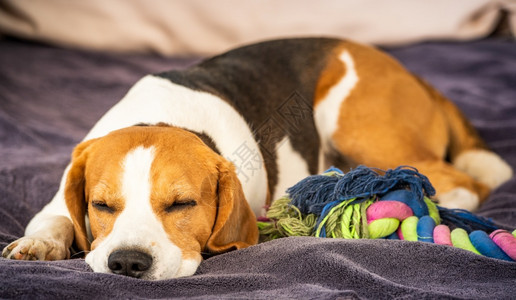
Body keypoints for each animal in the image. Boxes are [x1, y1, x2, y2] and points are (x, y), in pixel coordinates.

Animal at [1, 38, 512, 280]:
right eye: (101, 206)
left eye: (182, 205)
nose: (127, 264)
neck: (165, 118)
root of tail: (413, 76)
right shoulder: (61, 195)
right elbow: (53, 219)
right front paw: (40, 244)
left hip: (356, 122)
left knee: (460, 182)